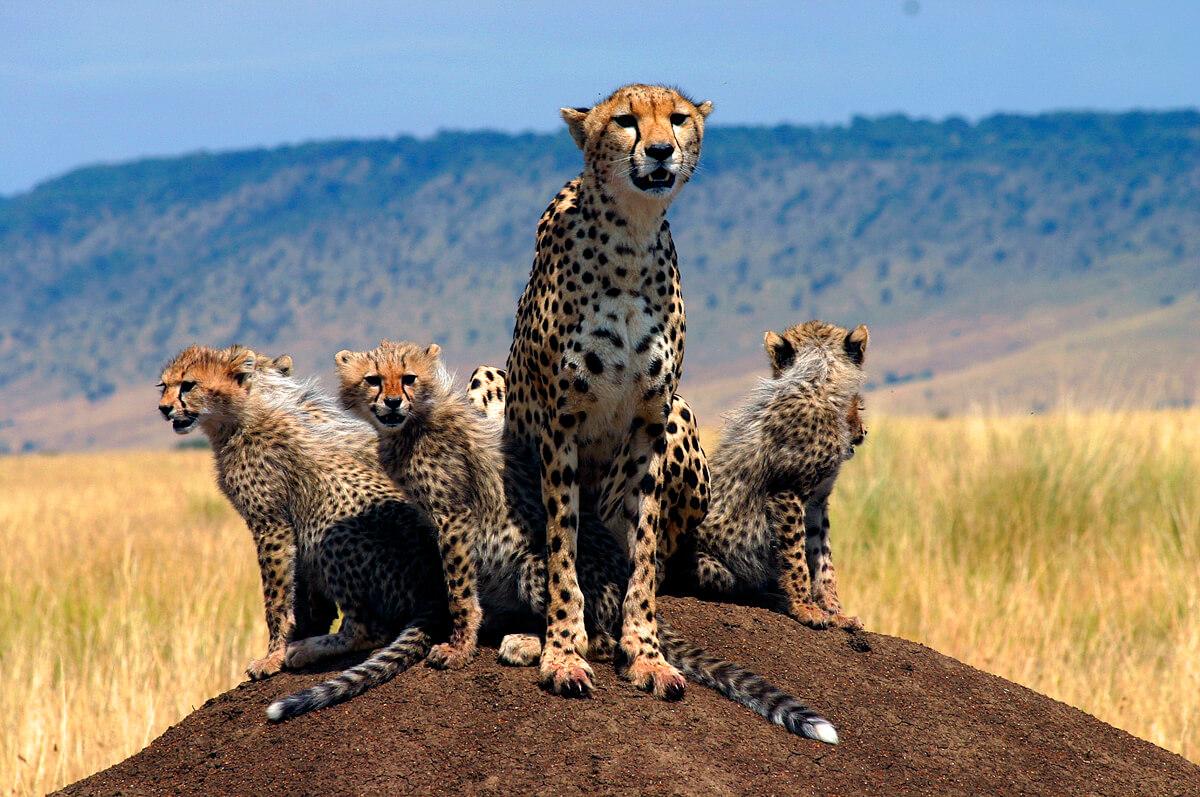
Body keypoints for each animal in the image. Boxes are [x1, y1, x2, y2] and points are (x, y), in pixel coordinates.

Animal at [504, 84, 710, 700]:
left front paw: (645, 653)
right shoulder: (560, 423)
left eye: (678, 118)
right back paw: (527, 640)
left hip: (682, 413)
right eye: (625, 121)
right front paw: (561, 651)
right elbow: (561, 548)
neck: (629, 239)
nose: (661, 151)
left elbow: (642, 556)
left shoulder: (651, 419)